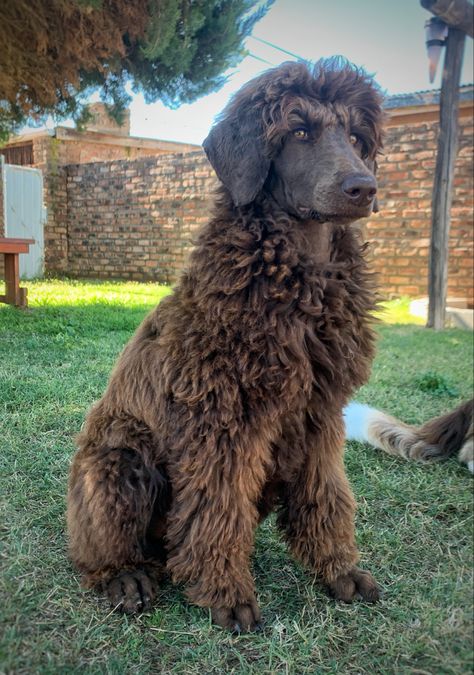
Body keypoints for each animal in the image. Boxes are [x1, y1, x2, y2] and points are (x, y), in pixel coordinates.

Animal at [66, 58, 386, 632]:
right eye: (298, 132)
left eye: (355, 137)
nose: (363, 188)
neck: (299, 279)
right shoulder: (222, 419)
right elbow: (217, 506)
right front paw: (224, 592)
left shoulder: (322, 413)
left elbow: (326, 493)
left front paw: (337, 570)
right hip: (119, 458)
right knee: (100, 548)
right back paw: (125, 576)